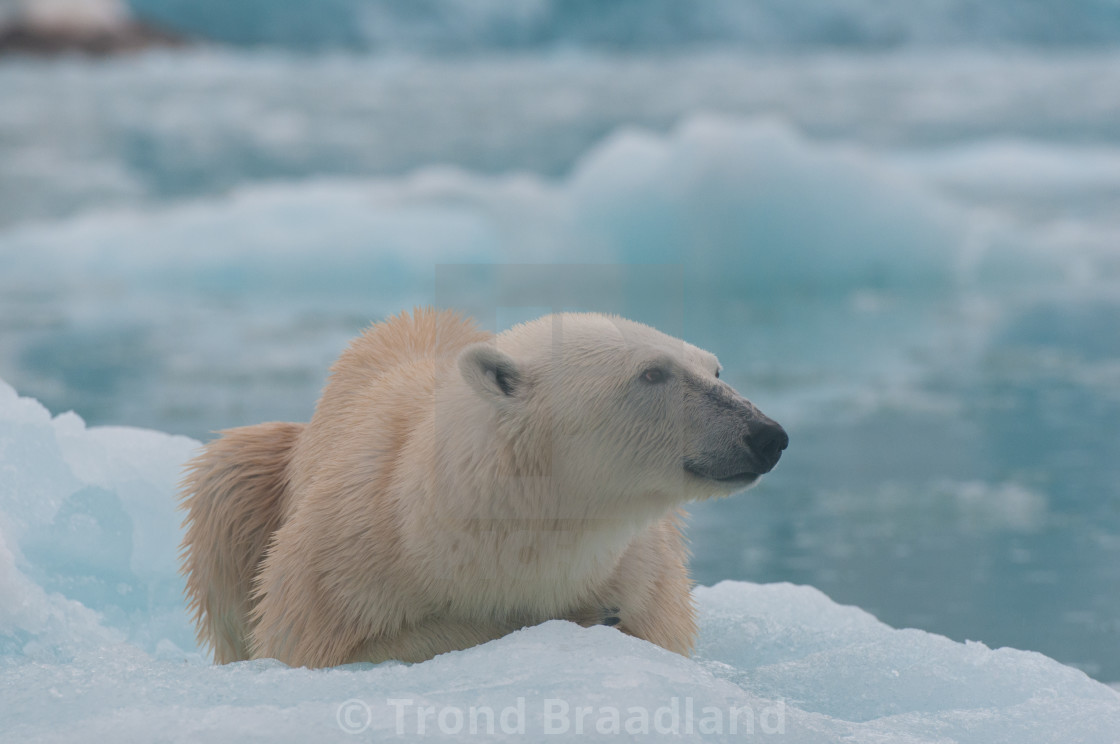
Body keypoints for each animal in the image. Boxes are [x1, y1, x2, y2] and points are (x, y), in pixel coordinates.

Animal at [179, 307, 788, 667]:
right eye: (652, 373)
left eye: (714, 368)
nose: (767, 435)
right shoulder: (336, 564)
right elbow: (321, 648)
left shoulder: (648, 575)